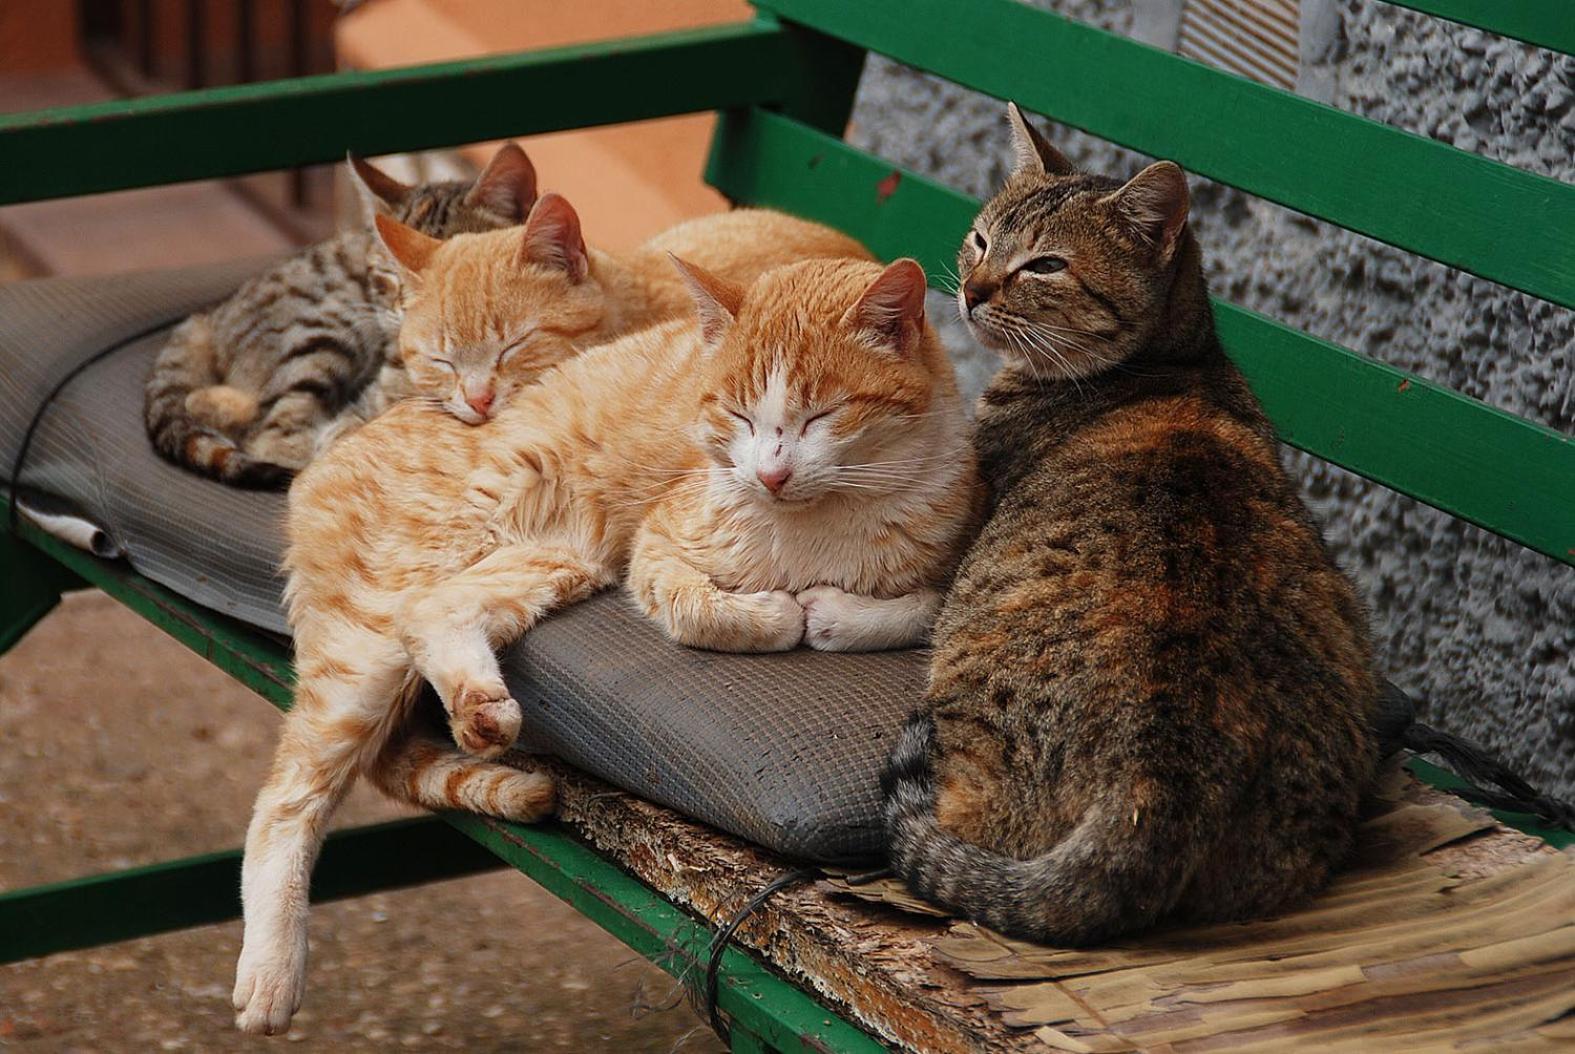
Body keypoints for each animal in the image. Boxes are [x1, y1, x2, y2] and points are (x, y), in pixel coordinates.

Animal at [234, 256, 976, 1033]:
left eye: (823, 416)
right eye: (738, 415)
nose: (771, 474)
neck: (819, 525)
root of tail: (332, 452)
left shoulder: (949, 563)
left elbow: (909, 614)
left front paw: (831, 611)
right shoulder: (655, 550)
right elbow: (720, 613)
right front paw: (781, 611)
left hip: (549, 560)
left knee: (432, 611)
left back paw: (480, 710)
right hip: (379, 628)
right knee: (286, 797)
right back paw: (271, 970)